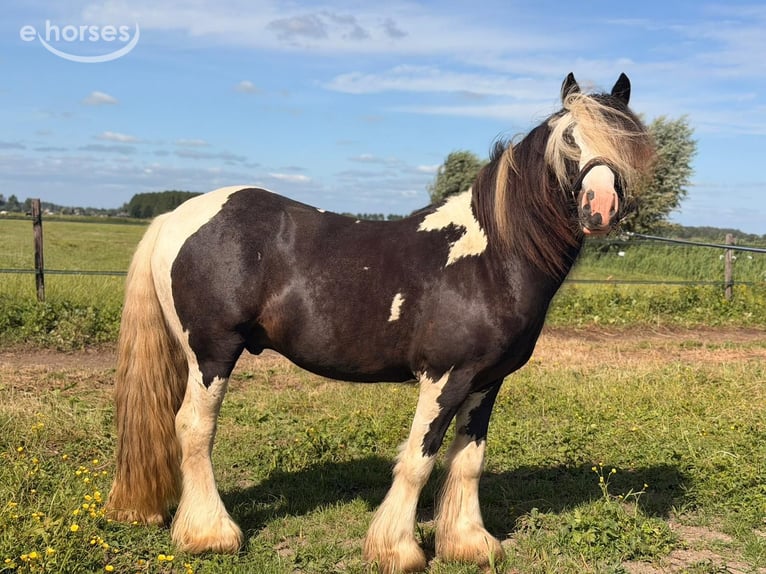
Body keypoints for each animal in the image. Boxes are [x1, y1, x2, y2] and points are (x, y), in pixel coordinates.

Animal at [106, 73, 654, 573]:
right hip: (212, 353)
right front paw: (397, 550)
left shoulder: (486, 381)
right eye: (569, 140)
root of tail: (175, 217)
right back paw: (210, 535)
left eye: (628, 139)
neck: (492, 255)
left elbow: (467, 460)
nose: (600, 207)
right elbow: (418, 459)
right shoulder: (445, 377)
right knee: (194, 429)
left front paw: (469, 543)